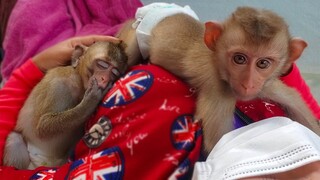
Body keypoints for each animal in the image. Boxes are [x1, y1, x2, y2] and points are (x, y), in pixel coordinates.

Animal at [3, 40, 127, 169]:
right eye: (102, 65)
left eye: (114, 73)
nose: (104, 79)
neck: (79, 82)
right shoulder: (58, 85)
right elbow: (43, 126)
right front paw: (90, 101)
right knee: (14, 139)